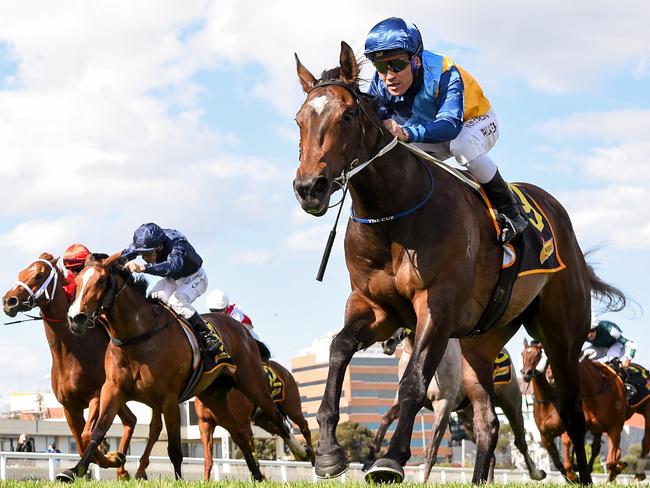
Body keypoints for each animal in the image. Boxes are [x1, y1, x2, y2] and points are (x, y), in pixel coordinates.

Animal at [57, 254, 288, 482]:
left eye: (100, 281)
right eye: (77, 281)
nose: (75, 318)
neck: (138, 337)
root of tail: (241, 329)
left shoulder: (169, 398)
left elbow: (175, 448)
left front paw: (177, 479)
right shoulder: (113, 389)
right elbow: (97, 431)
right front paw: (74, 470)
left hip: (253, 384)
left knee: (280, 421)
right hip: (214, 397)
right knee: (239, 434)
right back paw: (257, 475)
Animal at [520, 340, 628, 480]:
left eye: (538, 354)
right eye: (522, 354)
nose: (526, 373)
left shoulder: (614, 427)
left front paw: (573, 474)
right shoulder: (545, 436)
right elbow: (557, 461)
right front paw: (571, 475)